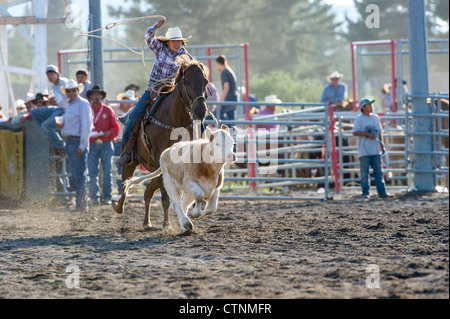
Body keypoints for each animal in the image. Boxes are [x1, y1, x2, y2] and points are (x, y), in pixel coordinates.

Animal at [112, 58, 211, 232]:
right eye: (187, 81)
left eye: (206, 82)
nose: (201, 111)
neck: (175, 120)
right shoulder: (160, 156)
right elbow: (165, 196)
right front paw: (167, 225)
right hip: (133, 160)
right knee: (125, 182)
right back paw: (119, 207)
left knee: (147, 191)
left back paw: (147, 222)